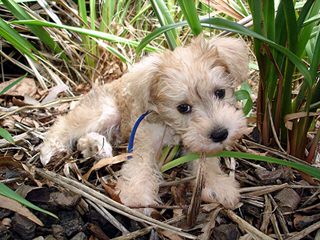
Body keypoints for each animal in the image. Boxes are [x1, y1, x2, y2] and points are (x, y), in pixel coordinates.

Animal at [40, 35, 249, 210]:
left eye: (220, 92)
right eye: (183, 107)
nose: (220, 134)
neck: (171, 126)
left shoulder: (198, 142)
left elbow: (207, 163)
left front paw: (218, 185)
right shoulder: (145, 138)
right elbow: (140, 164)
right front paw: (136, 194)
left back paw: (96, 147)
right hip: (105, 111)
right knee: (65, 124)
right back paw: (50, 150)